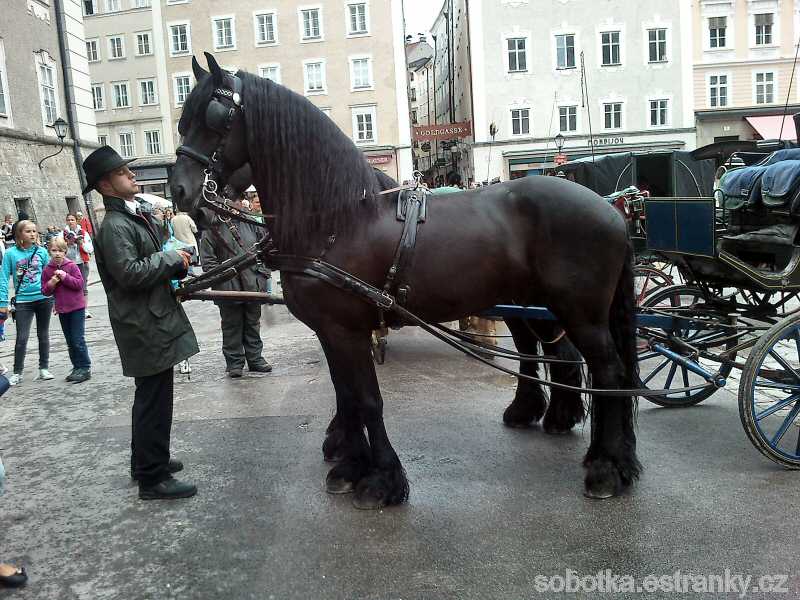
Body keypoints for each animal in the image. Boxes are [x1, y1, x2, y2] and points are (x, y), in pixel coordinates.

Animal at [169, 55, 636, 506]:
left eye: (215, 117)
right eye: (182, 121)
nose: (179, 191)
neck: (337, 221)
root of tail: (611, 209)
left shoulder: (346, 329)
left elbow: (367, 400)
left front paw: (381, 479)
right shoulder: (332, 331)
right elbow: (346, 395)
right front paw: (350, 465)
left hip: (580, 312)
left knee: (607, 372)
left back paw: (606, 467)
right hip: (532, 303)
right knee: (561, 358)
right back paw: (576, 436)